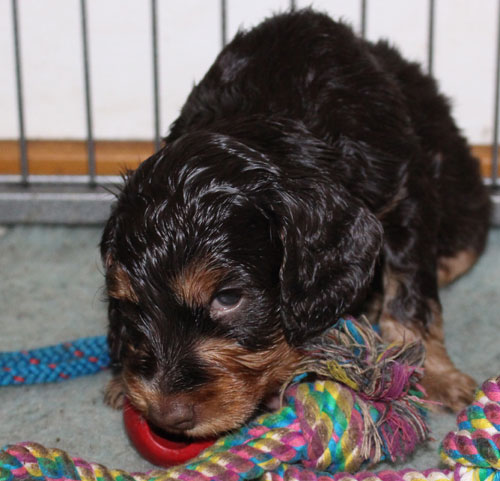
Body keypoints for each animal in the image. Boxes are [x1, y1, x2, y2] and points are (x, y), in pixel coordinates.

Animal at [101, 9, 491, 437]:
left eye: (228, 298)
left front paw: (430, 372)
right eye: (130, 307)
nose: (165, 417)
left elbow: (410, 298)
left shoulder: (405, 199)